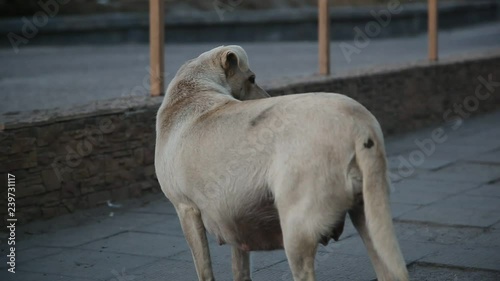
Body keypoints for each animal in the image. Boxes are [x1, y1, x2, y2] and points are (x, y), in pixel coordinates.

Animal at [154, 44, 408, 278]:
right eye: (252, 78)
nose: (267, 97)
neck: (194, 89)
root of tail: (359, 124)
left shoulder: (186, 209)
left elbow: (204, 269)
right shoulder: (232, 219)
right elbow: (240, 269)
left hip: (297, 230)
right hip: (369, 214)